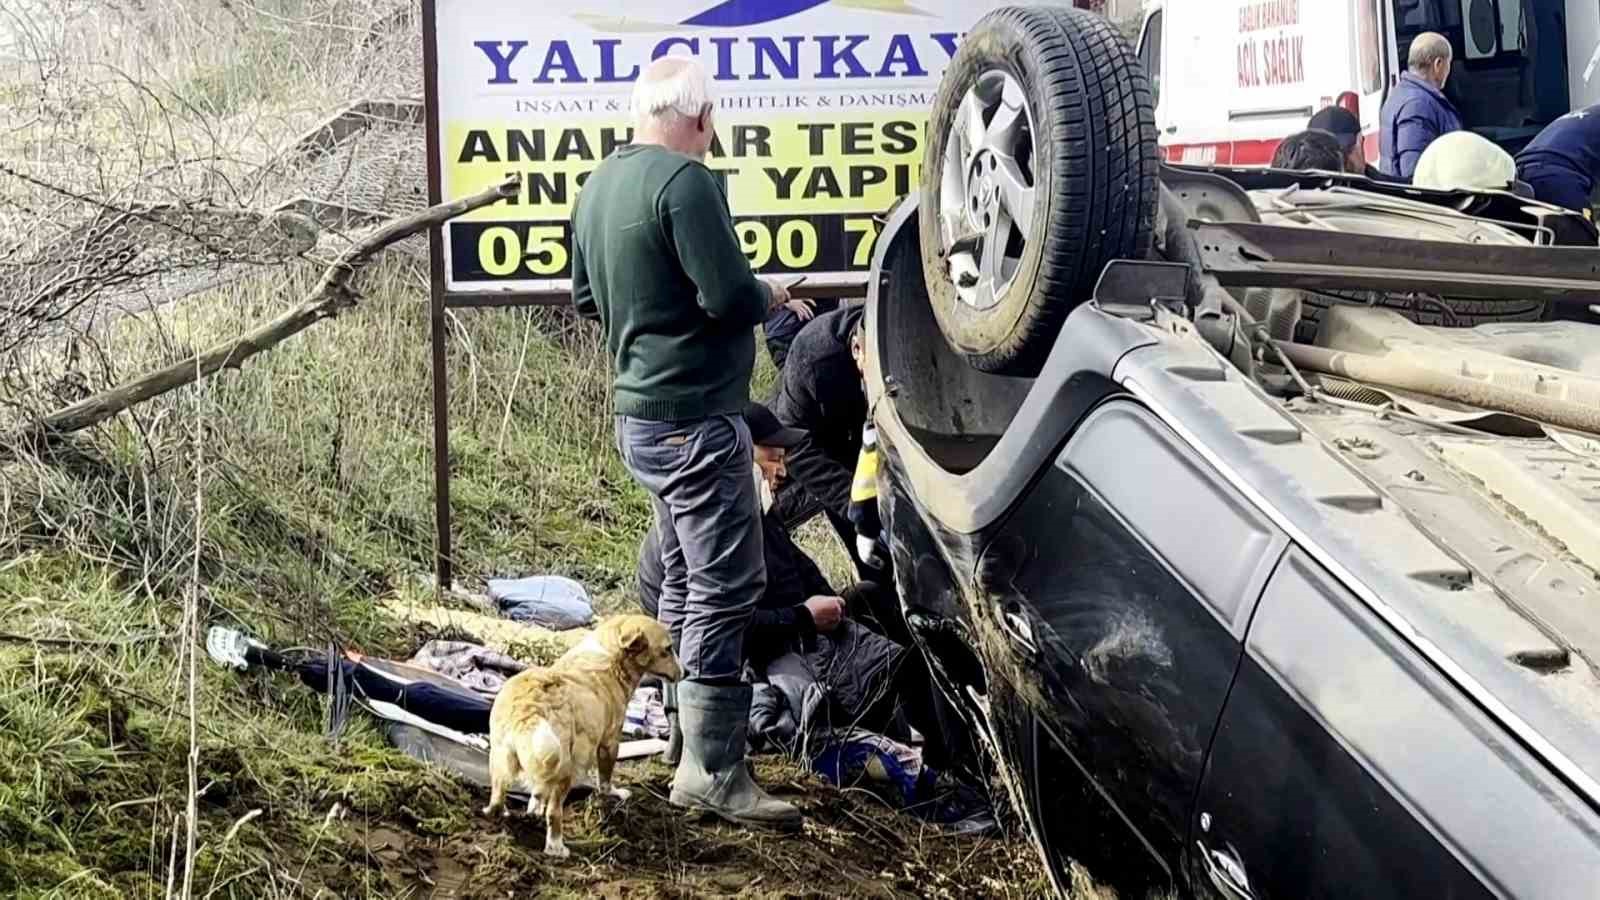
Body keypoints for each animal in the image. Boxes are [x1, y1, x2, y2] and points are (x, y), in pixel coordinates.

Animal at [480, 608, 681, 851]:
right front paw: (615, 793)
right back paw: (557, 847)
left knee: (498, 796)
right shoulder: (610, 742)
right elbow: (605, 779)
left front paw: (533, 808)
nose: (685, 672)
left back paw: (498, 814)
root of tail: (530, 708)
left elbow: (538, 792)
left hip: (501, 757)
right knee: (554, 813)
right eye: (668, 649)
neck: (612, 655)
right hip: (565, 767)